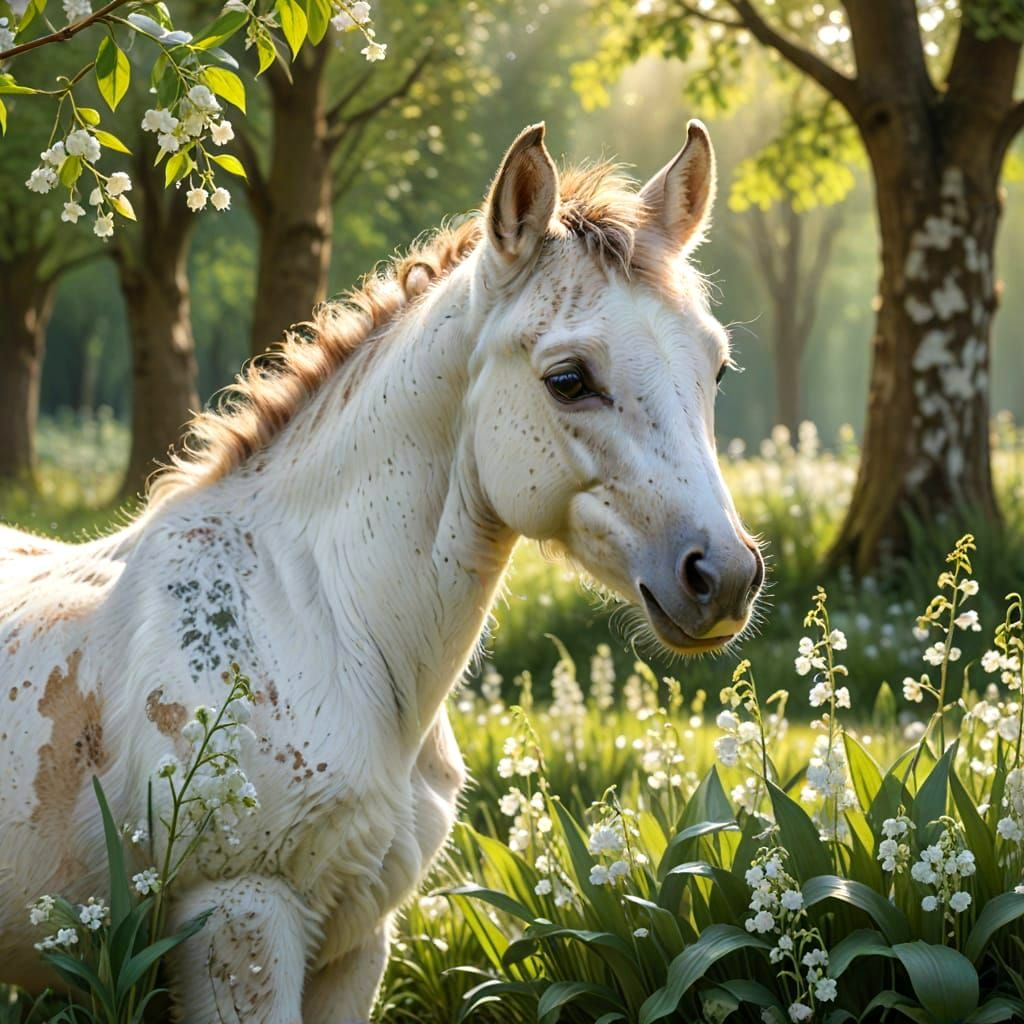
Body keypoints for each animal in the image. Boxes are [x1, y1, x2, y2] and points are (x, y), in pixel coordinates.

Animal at [0, 121, 763, 1022]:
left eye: (715, 368)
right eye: (569, 379)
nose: (724, 577)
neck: (318, 619)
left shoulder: (356, 943)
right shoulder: (240, 920)